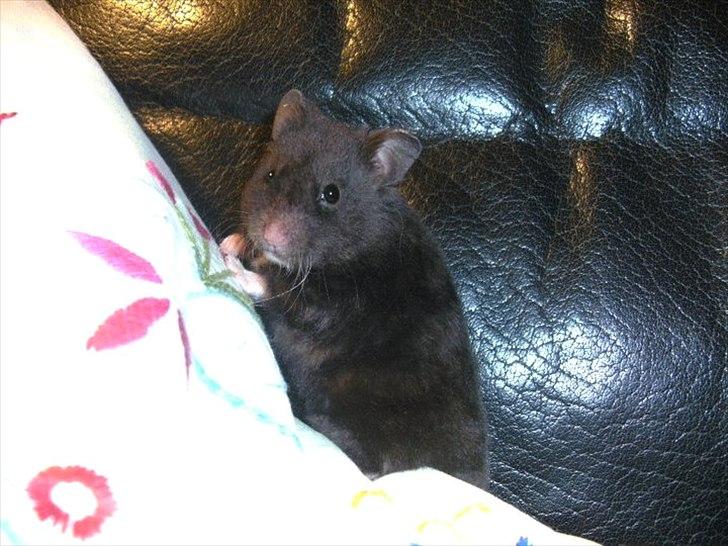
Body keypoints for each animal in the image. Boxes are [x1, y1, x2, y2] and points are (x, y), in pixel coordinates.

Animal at [221, 89, 488, 488]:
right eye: (270, 174)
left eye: (331, 194)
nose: (271, 236)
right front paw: (234, 242)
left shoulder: (335, 306)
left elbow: (283, 293)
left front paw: (232, 264)